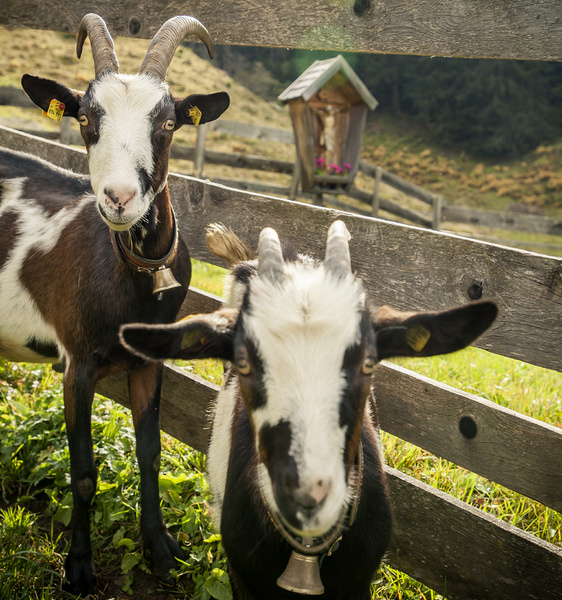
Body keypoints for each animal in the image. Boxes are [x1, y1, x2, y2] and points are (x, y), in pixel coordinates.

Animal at [1, 14, 228, 596]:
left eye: (168, 123)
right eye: (84, 118)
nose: (119, 199)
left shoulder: (148, 361)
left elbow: (150, 453)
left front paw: (162, 551)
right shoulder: (77, 365)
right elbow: (82, 472)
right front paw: (79, 567)